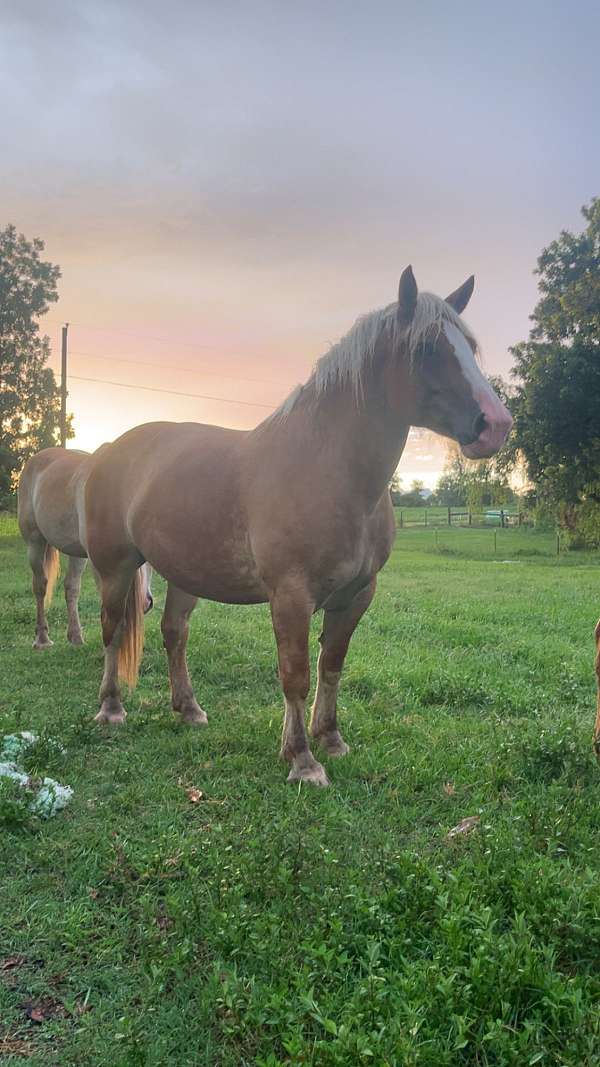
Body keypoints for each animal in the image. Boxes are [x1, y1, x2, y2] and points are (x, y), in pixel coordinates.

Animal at [17, 447, 153, 649]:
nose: (145, 602)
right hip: (35, 542)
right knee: (40, 585)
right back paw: (42, 639)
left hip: (77, 554)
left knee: (71, 587)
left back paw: (76, 637)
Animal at [83, 267, 512, 786]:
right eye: (428, 346)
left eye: (469, 345)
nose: (496, 424)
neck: (328, 470)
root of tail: (110, 448)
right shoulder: (290, 595)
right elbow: (296, 673)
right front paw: (303, 761)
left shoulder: (357, 595)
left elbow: (331, 666)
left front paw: (330, 739)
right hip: (115, 569)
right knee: (111, 629)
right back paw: (111, 709)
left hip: (184, 574)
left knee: (174, 633)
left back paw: (189, 709)